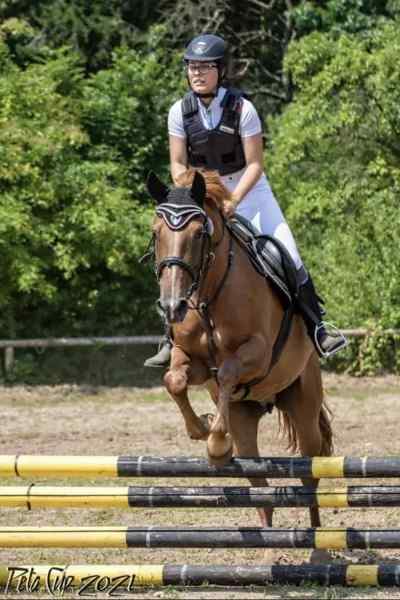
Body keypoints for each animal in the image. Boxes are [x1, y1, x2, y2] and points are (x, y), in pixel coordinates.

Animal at [145, 166, 332, 556]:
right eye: (155, 234)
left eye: (200, 233)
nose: (172, 306)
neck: (208, 295)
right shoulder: (192, 359)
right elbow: (175, 380)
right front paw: (201, 427)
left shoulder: (258, 353)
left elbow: (229, 371)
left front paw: (216, 445)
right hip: (246, 420)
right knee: (259, 482)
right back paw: (269, 544)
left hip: (303, 403)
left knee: (309, 469)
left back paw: (319, 545)